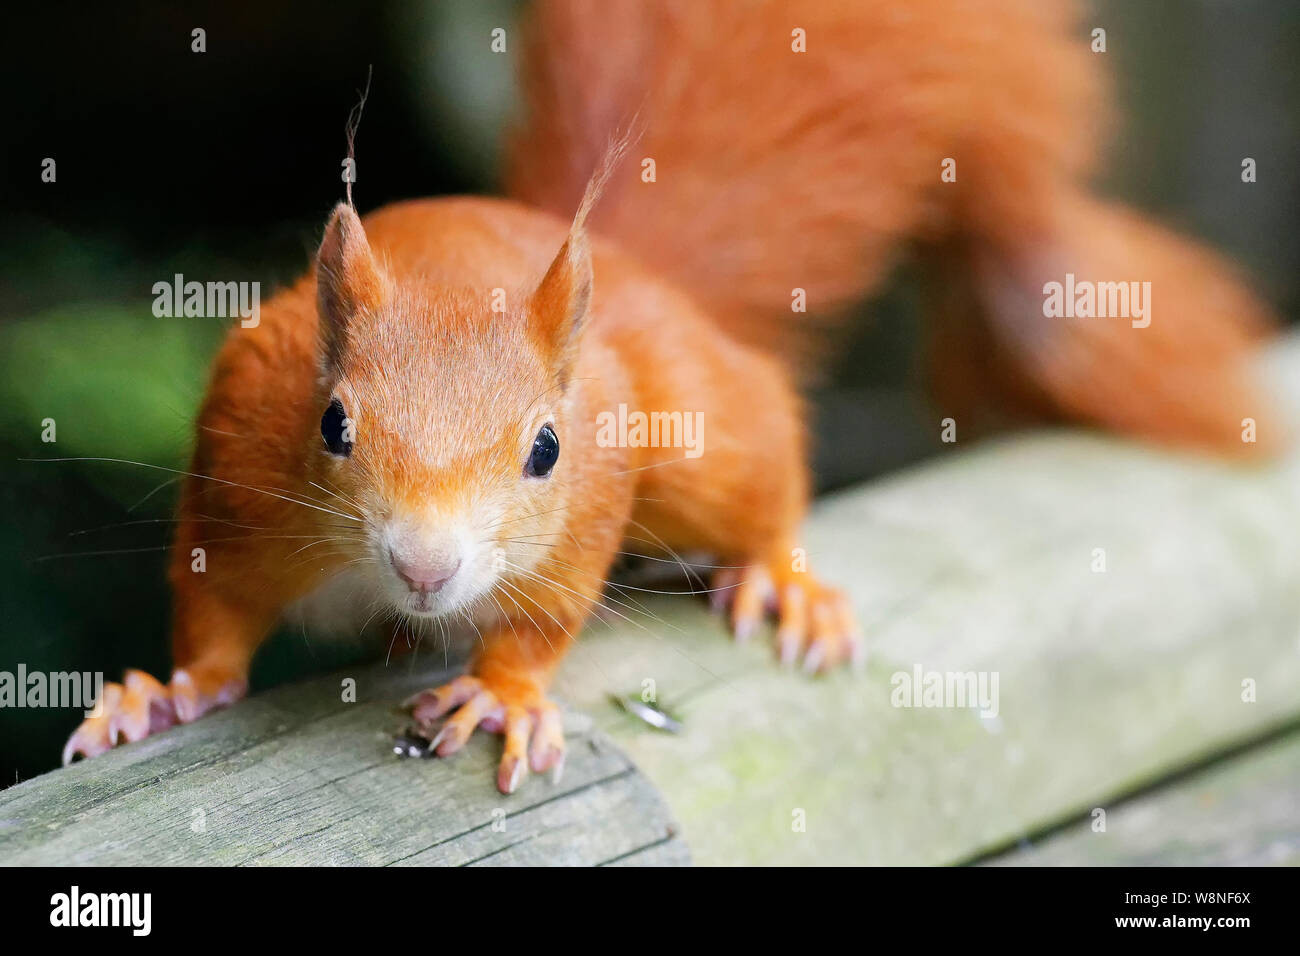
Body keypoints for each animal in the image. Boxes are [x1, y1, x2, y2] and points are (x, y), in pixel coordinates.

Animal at [64, 0, 1277, 793]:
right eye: (332, 424)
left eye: (547, 449)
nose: (426, 565)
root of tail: (627, 269)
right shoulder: (239, 472)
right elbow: (214, 615)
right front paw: (158, 695)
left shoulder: (585, 511)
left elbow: (546, 619)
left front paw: (503, 691)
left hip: (703, 437)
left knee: (761, 472)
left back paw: (784, 579)